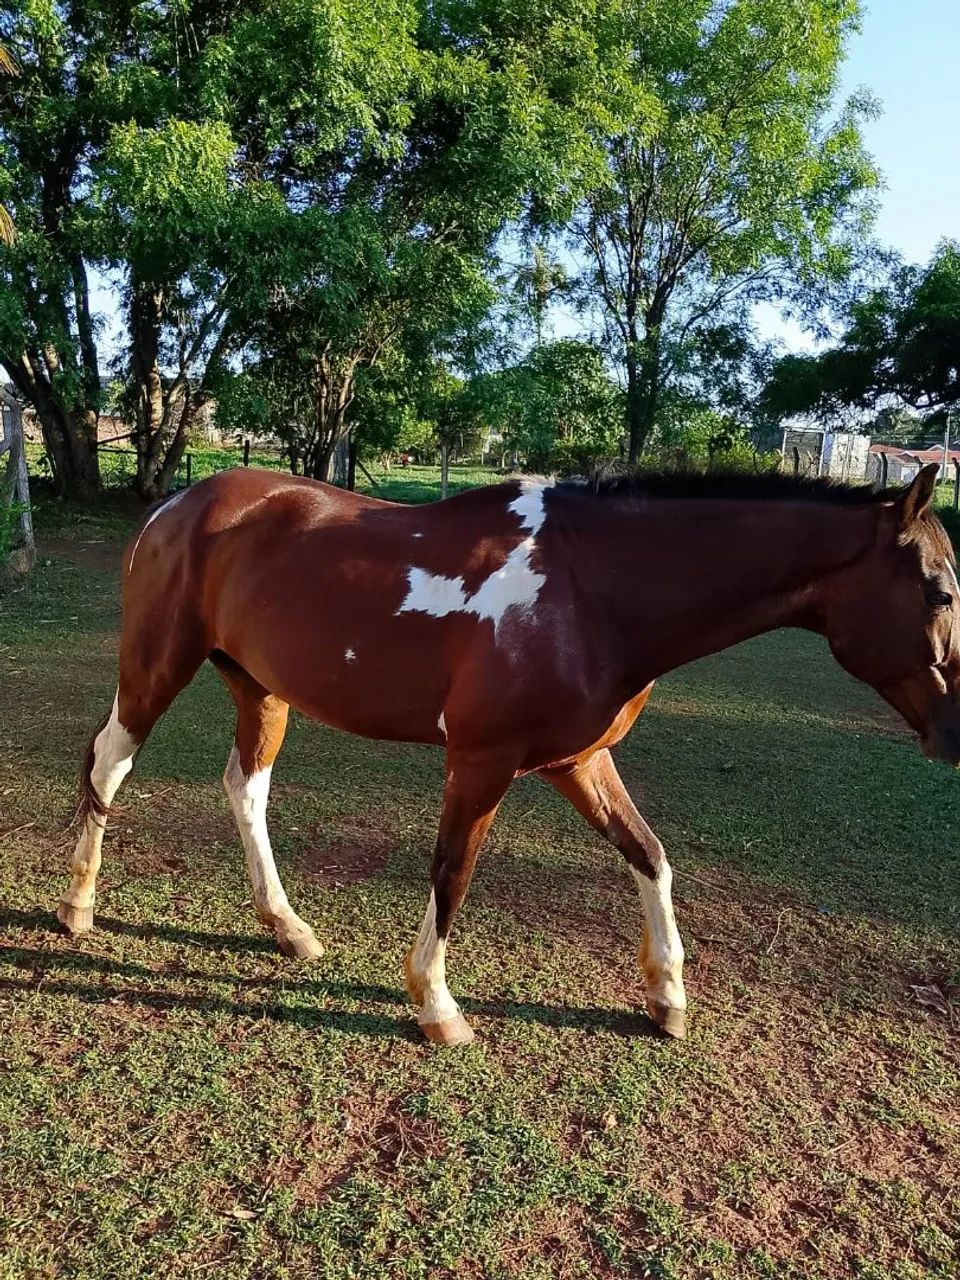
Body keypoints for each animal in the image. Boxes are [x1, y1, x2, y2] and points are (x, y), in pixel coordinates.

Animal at [59, 462, 960, 1045]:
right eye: (940, 591)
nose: (953, 731)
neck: (592, 588)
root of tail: (177, 503)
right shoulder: (482, 761)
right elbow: (452, 872)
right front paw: (436, 1005)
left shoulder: (578, 761)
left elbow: (651, 855)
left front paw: (667, 994)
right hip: (155, 668)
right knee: (109, 764)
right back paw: (78, 905)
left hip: (261, 689)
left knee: (245, 789)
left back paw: (286, 926)